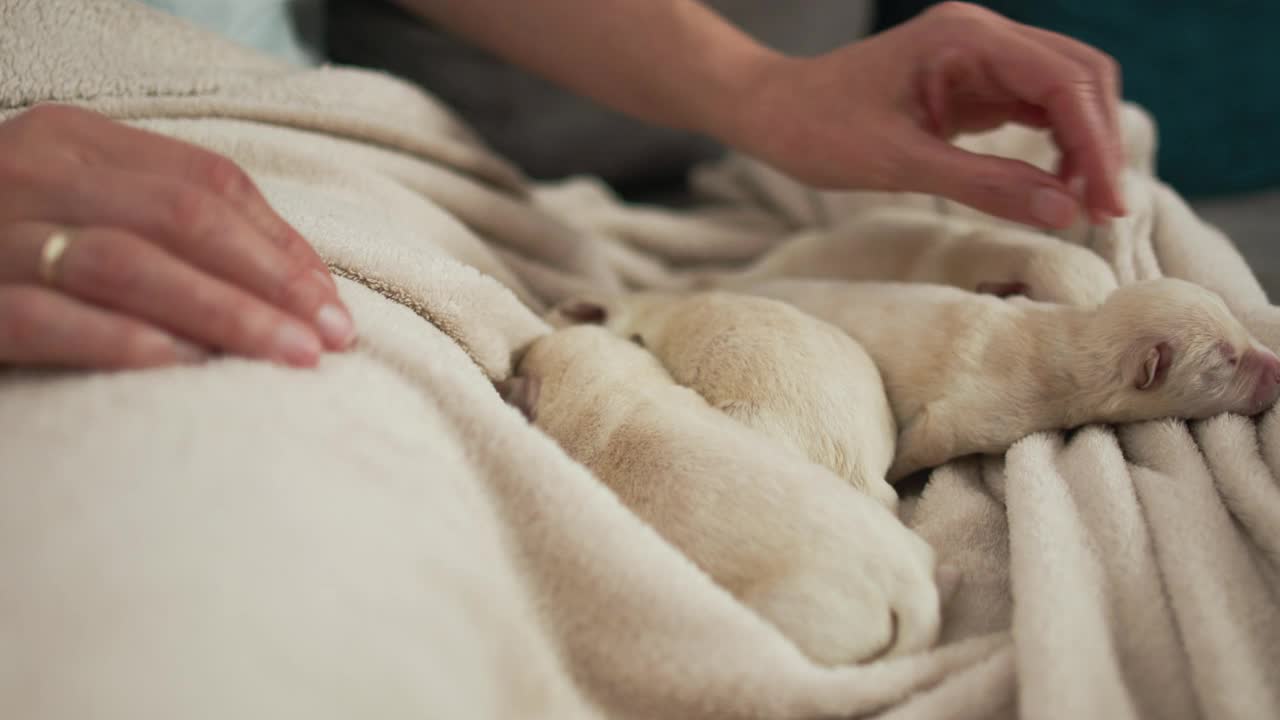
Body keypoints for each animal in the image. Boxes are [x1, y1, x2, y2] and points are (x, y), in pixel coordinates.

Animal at [737, 278, 1280, 479]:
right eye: (1226, 359)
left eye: (1235, 326)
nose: (1278, 367)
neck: (1076, 341)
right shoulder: (983, 409)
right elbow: (929, 435)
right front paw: (896, 473)